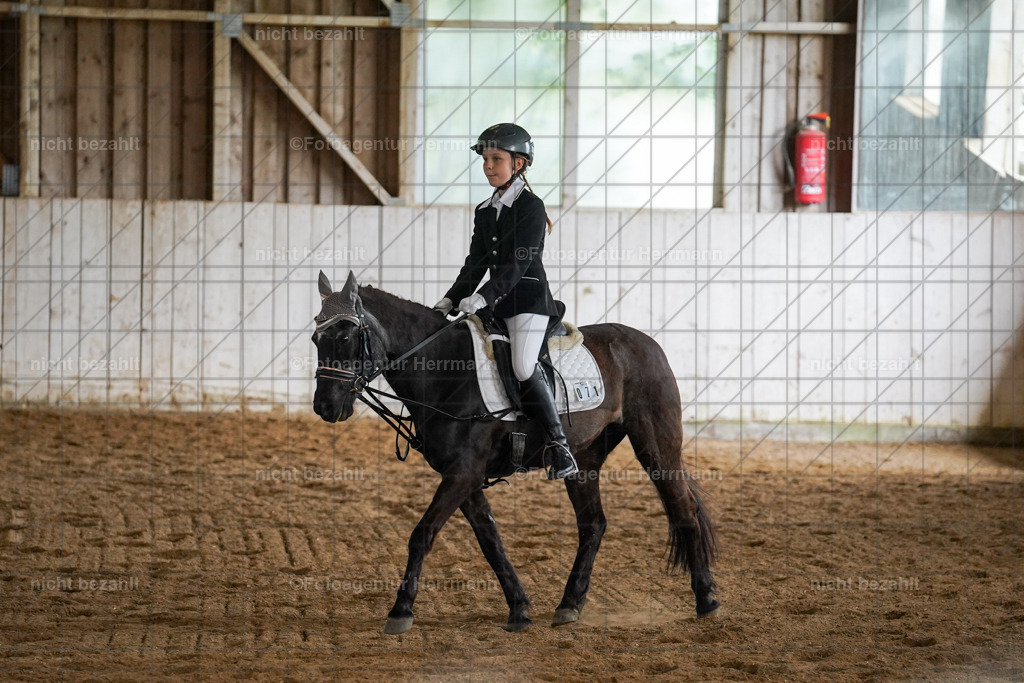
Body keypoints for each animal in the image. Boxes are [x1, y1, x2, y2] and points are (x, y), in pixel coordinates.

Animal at [311, 271, 719, 634]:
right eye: (316, 339)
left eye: (345, 336)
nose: (324, 407)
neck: (446, 369)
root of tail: (645, 341)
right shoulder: (463, 476)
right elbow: (490, 541)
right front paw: (519, 608)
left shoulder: (463, 472)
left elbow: (422, 534)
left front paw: (400, 611)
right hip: (584, 459)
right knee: (593, 524)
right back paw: (569, 604)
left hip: (656, 446)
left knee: (683, 510)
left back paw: (706, 600)